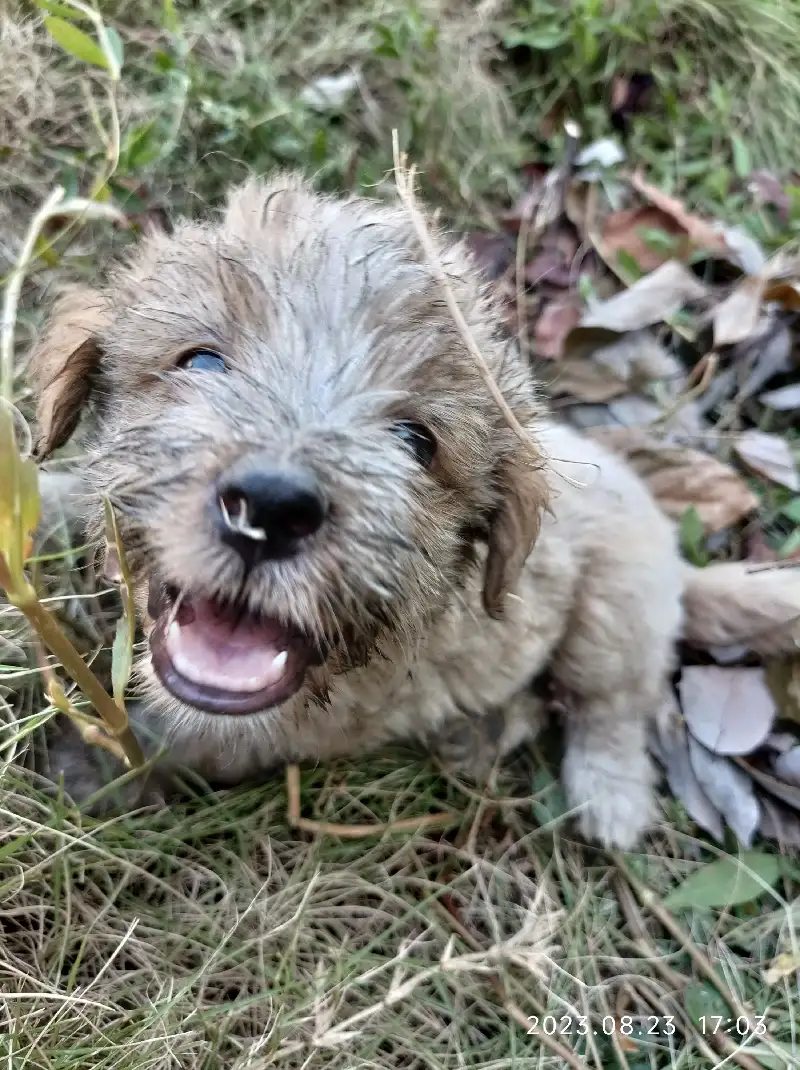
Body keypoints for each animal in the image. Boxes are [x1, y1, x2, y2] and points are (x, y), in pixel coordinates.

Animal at [26, 173, 800, 843]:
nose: (270, 509)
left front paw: (81, 770)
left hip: (614, 614)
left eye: (416, 441)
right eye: (202, 362)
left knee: (612, 703)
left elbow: (161, 742)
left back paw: (608, 792)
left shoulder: (263, 728)